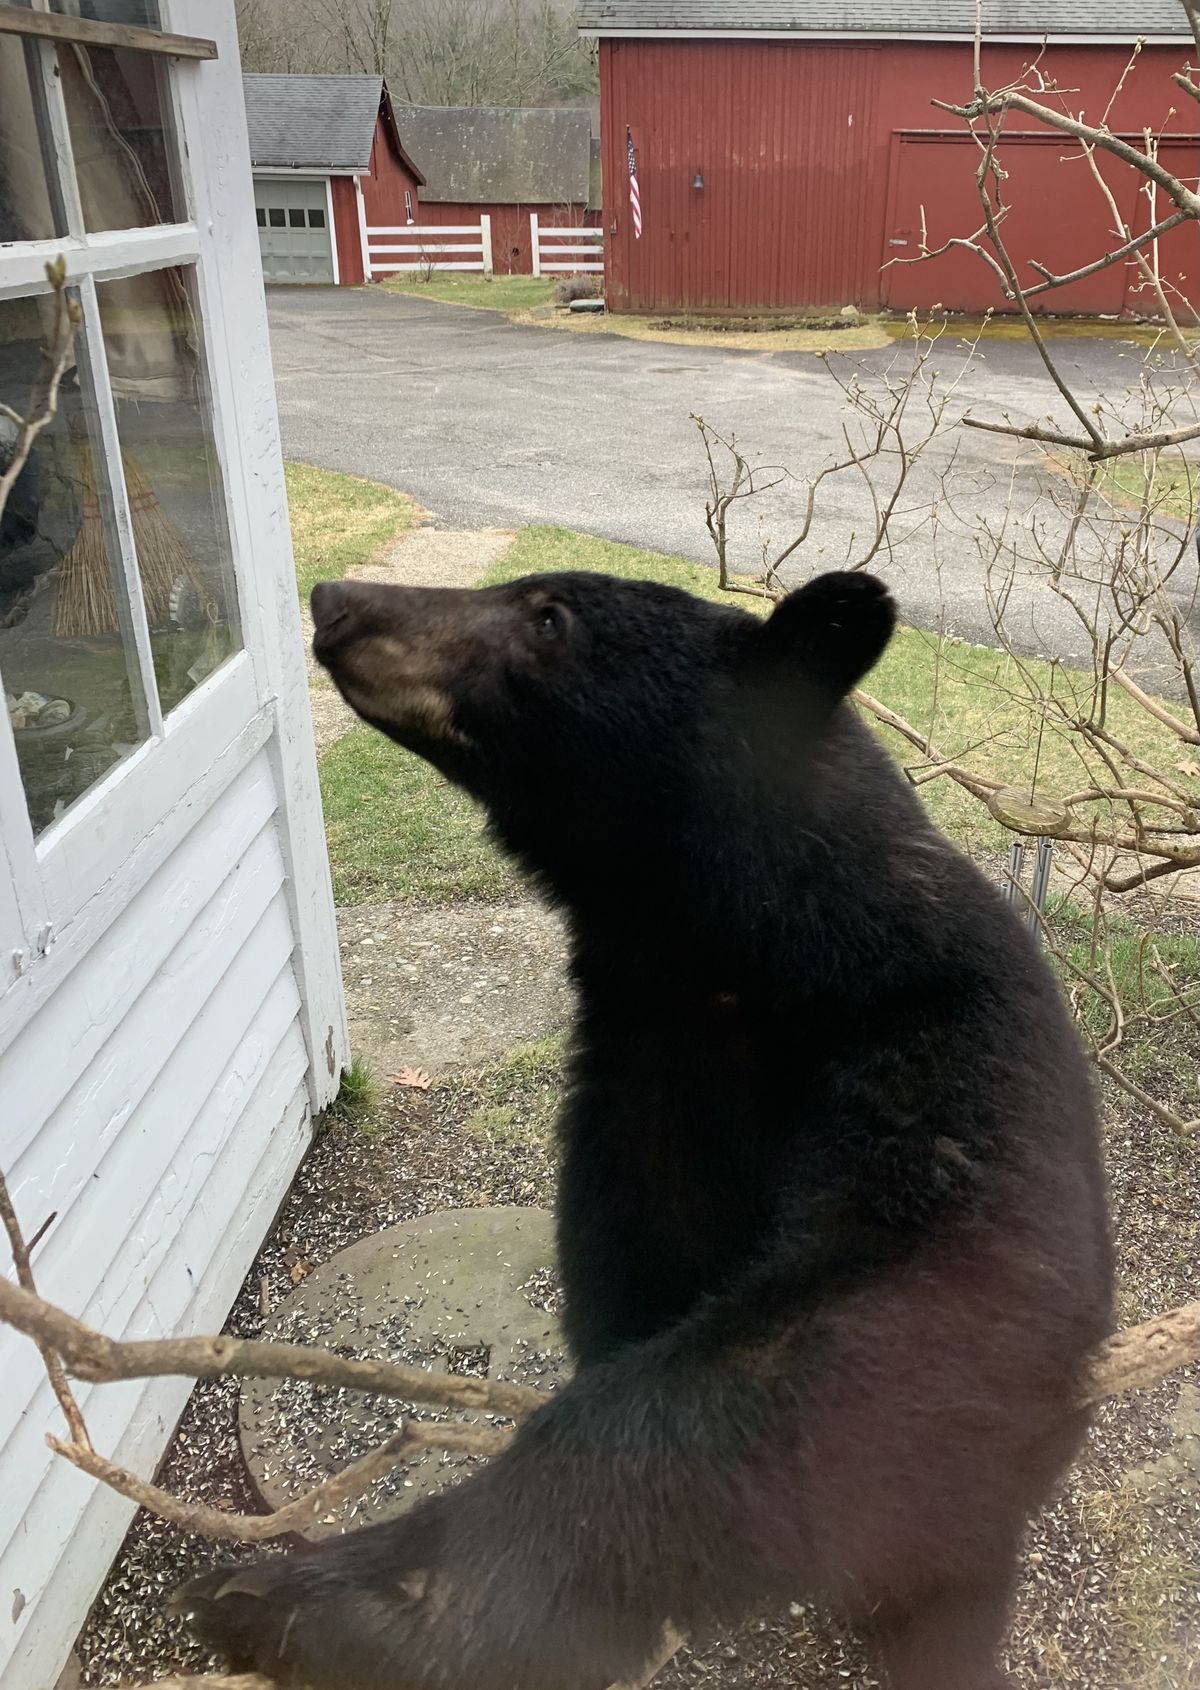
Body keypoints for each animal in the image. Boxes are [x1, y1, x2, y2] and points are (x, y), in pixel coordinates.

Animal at [187, 571, 1115, 1690]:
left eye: (546, 614)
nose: (338, 598)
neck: (738, 954)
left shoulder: (939, 1041)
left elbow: (871, 1325)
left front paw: (336, 1601)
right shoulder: (648, 1072)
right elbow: (634, 1254)